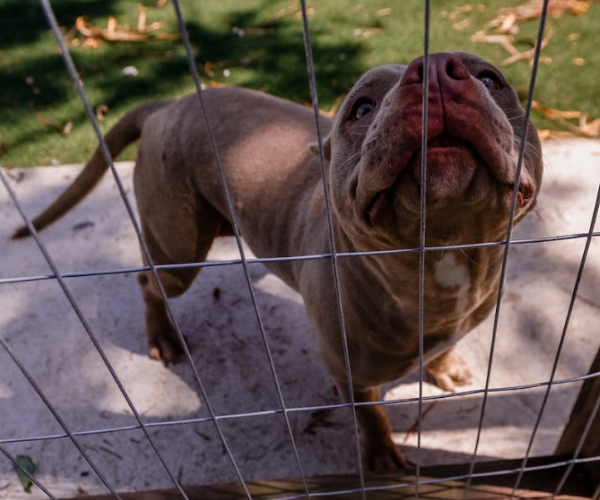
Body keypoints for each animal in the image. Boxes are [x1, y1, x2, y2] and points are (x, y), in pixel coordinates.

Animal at [14, 52, 540, 470]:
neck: (439, 259)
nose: (432, 71)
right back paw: (162, 337)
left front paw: (445, 366)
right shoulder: (348, 372)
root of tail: (170, 105)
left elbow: (441, 350)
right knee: (150, 283)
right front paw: (382, 457)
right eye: (361, 107)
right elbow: (371, 415)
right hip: (176, 251)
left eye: (491, 78)